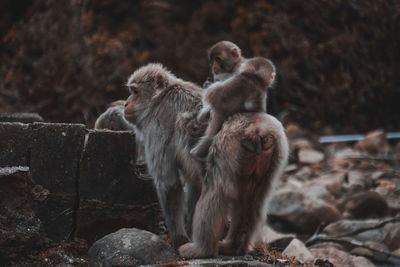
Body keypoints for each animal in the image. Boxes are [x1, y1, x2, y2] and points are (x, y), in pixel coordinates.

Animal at [123, 62, 290, 258]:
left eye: (135, 91)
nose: (126, 103)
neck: (160, 97)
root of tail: (257, 130)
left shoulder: (157, 124)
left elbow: (169, 183)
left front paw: (178, 239)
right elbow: (193, 186)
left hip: (227, 145)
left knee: (214, 190)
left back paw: (203, 249)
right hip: (275, 154)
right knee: (255, 199)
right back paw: (234, 246)